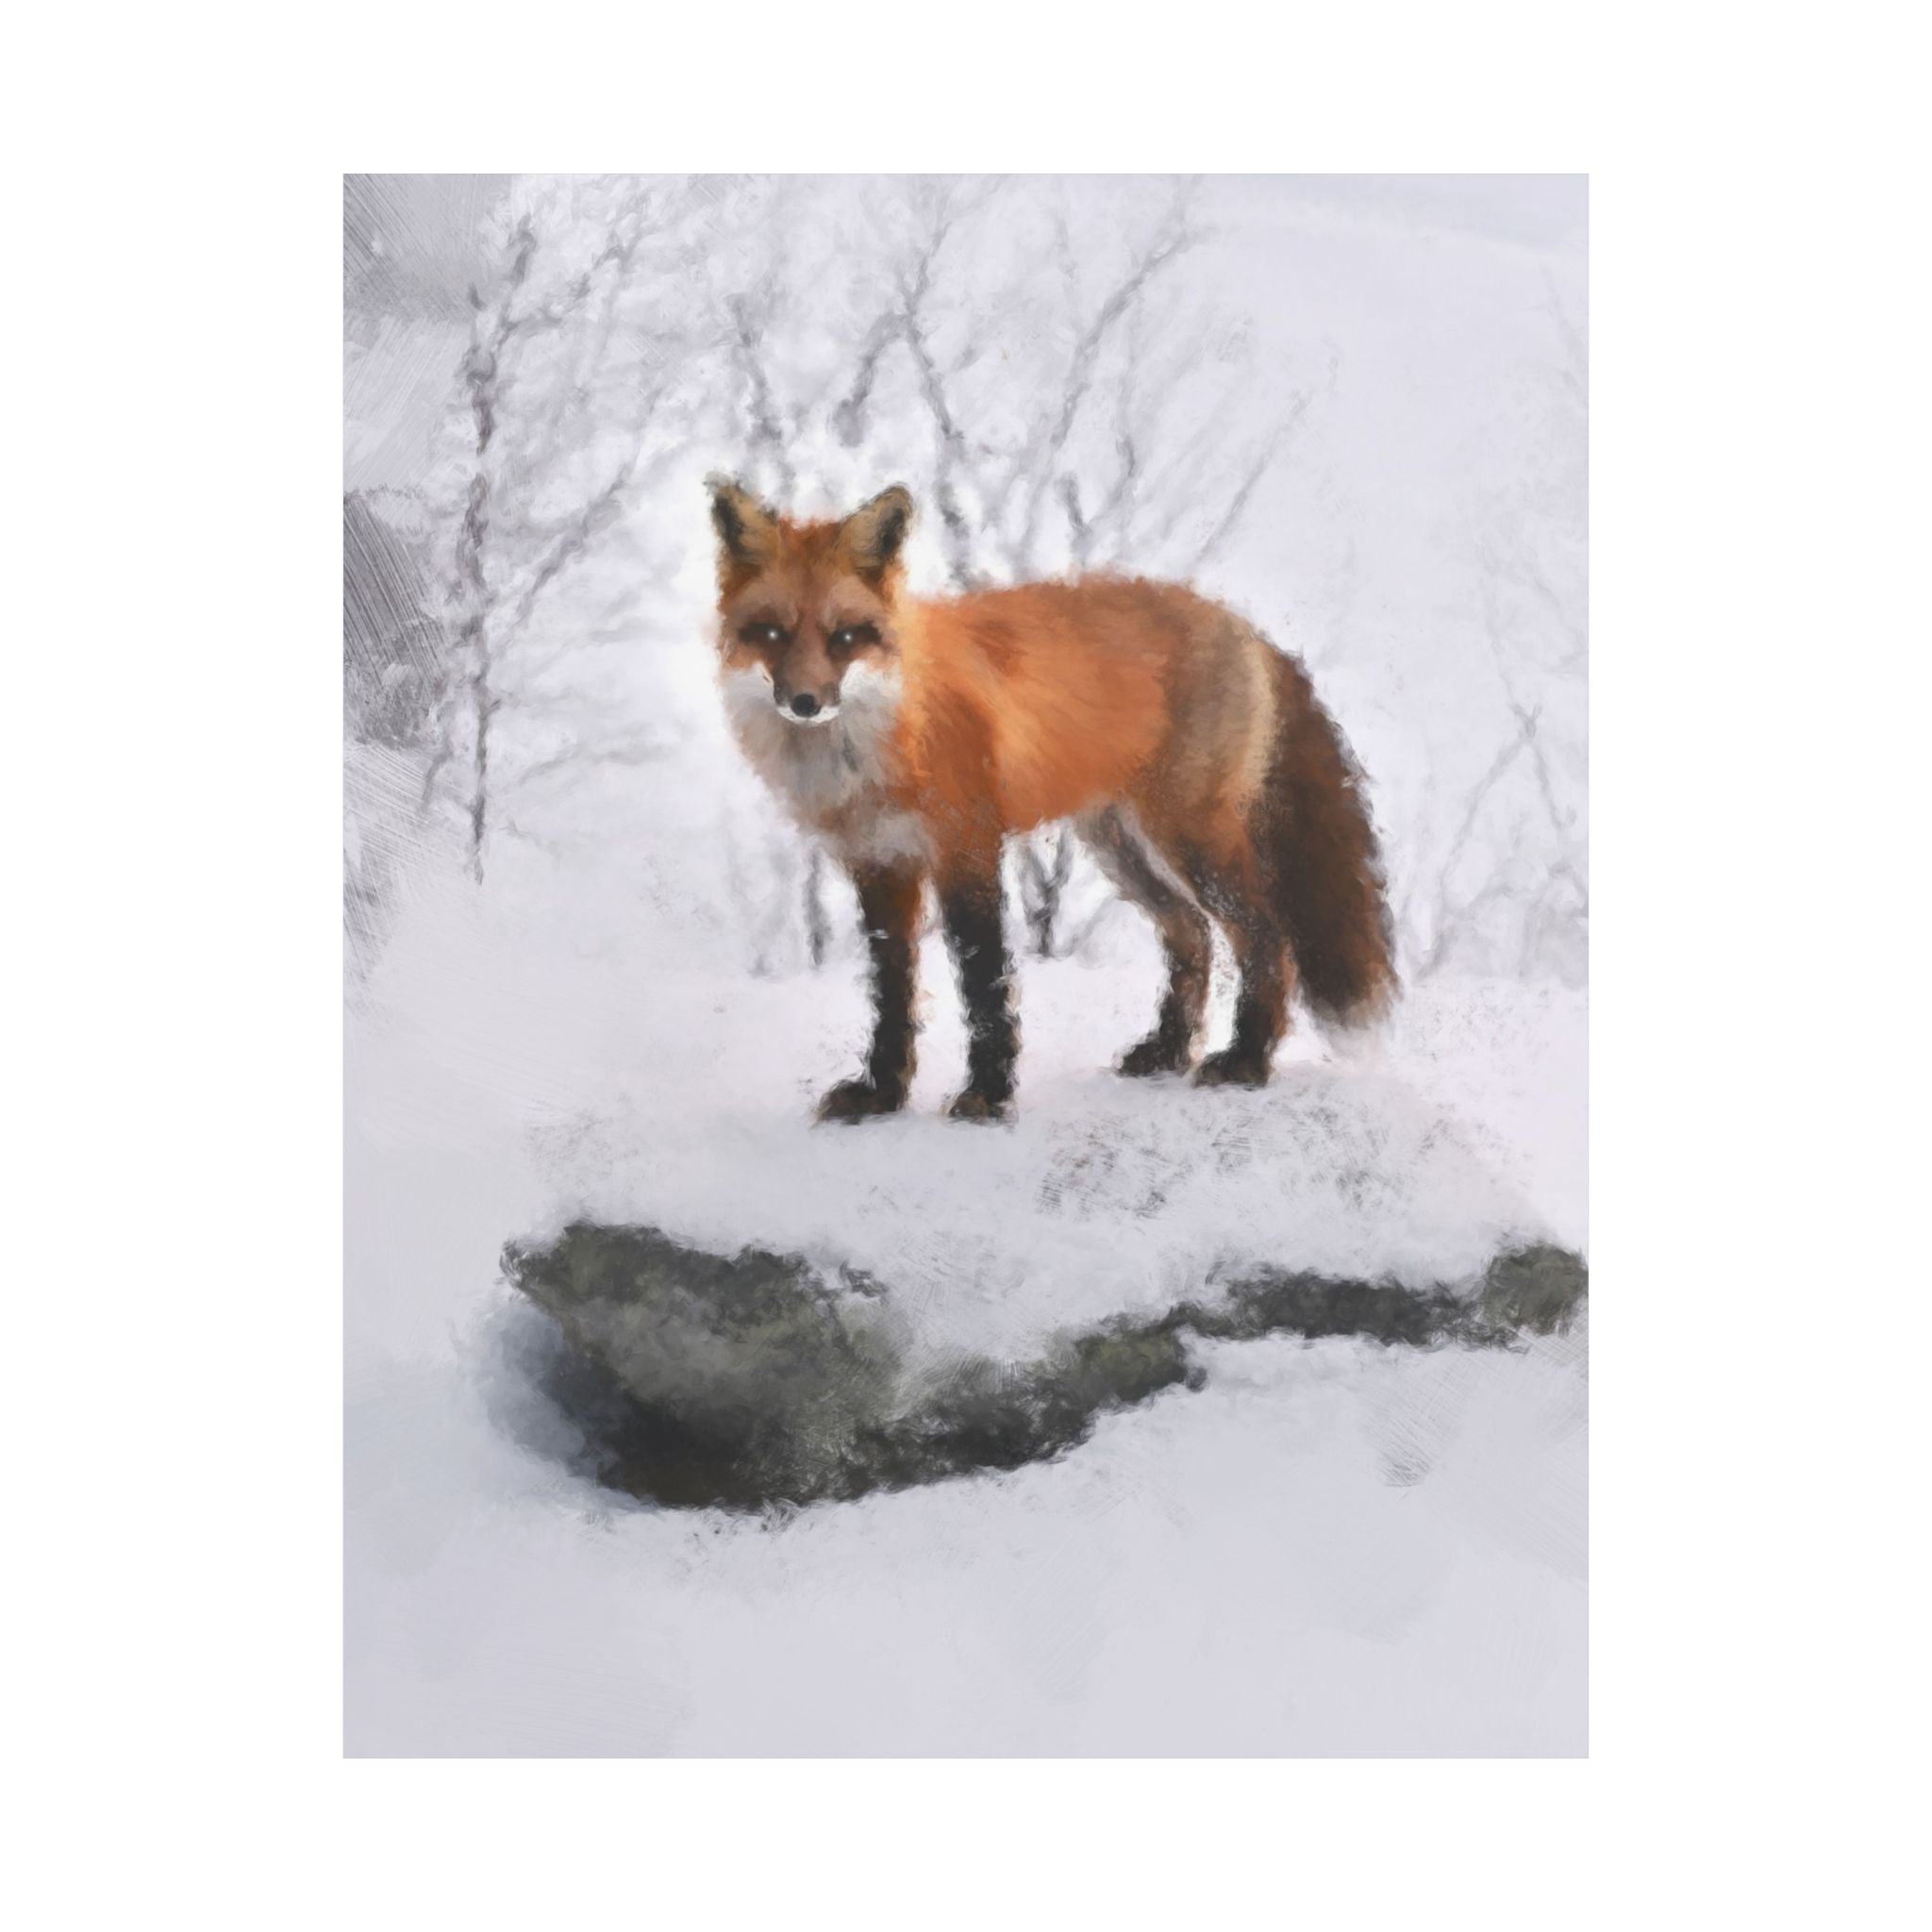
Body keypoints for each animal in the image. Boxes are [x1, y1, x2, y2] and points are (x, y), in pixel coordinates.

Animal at [709, 476, 1396, 1124]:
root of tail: (1242, 624)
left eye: (845, 637)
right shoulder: (880, 865)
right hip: (1122, 848)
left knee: (1266, 939)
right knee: (1192, 936)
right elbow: (892, 995)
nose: (805, 703)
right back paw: (1169, 1051)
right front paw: (881, 1095)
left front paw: (988, 1094)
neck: (883, 735)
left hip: (1191, 841)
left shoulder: (967, 848)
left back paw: (1247, 1061)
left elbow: (984, 984)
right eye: (771, 633)